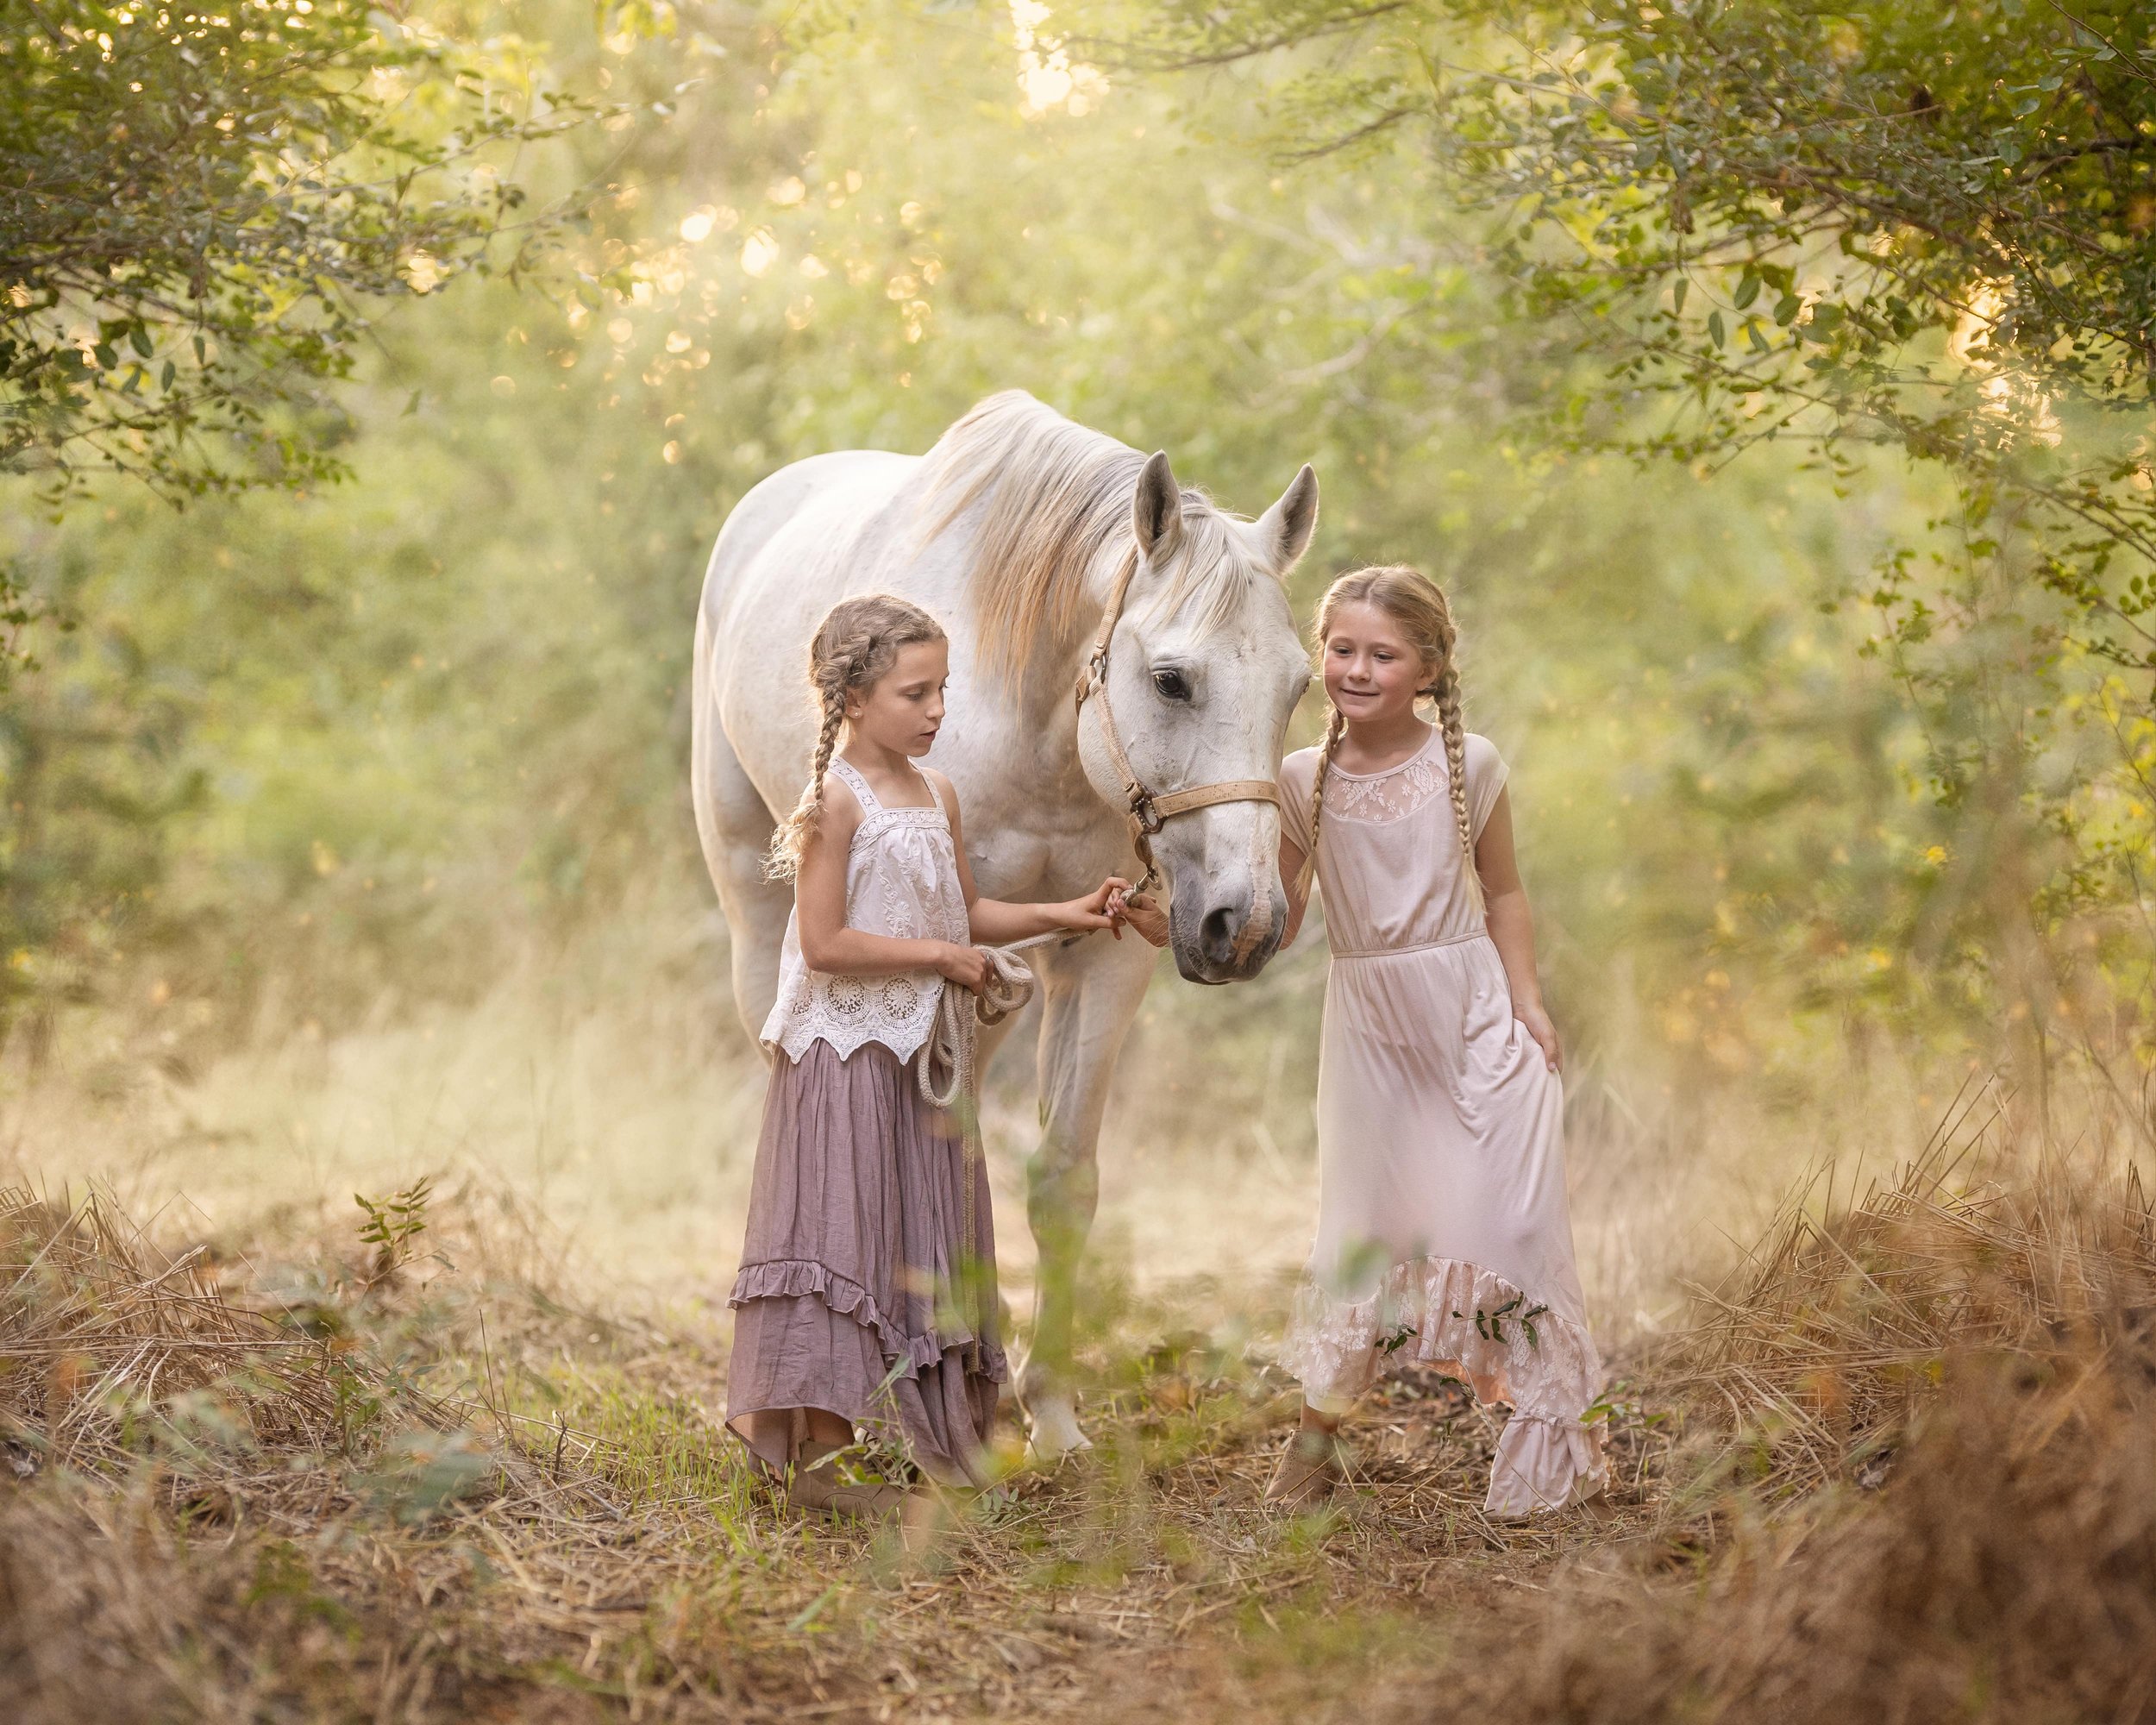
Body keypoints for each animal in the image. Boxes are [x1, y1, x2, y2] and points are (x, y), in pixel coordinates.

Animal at [690, 394, 1311, 1458]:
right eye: (1173, 679)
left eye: (1300, 685)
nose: (1249, 924)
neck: (1038, 717)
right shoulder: (961, 960)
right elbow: (941, 1160)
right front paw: (947, 1407)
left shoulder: (1099, 962)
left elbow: (1061, 1180)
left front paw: (1049, 1411)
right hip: (751, 899)